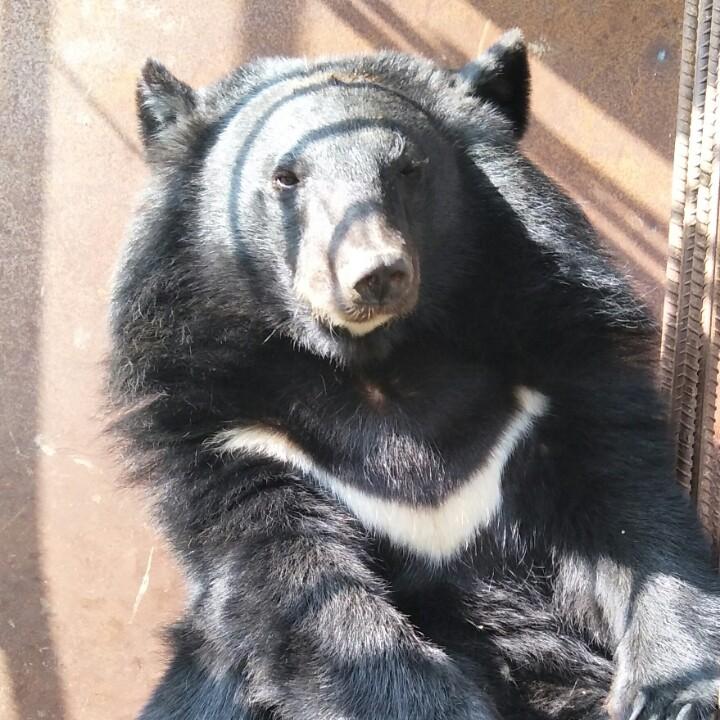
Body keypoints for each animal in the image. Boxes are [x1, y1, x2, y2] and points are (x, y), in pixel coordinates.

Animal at [109, 30, 720, 720]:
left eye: (407, 170)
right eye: (285, 177)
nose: (375, 273)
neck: (380, 367)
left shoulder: (557, 381)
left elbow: (633, 512)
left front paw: (675, 692)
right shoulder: (231, 433)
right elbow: (305, 595)